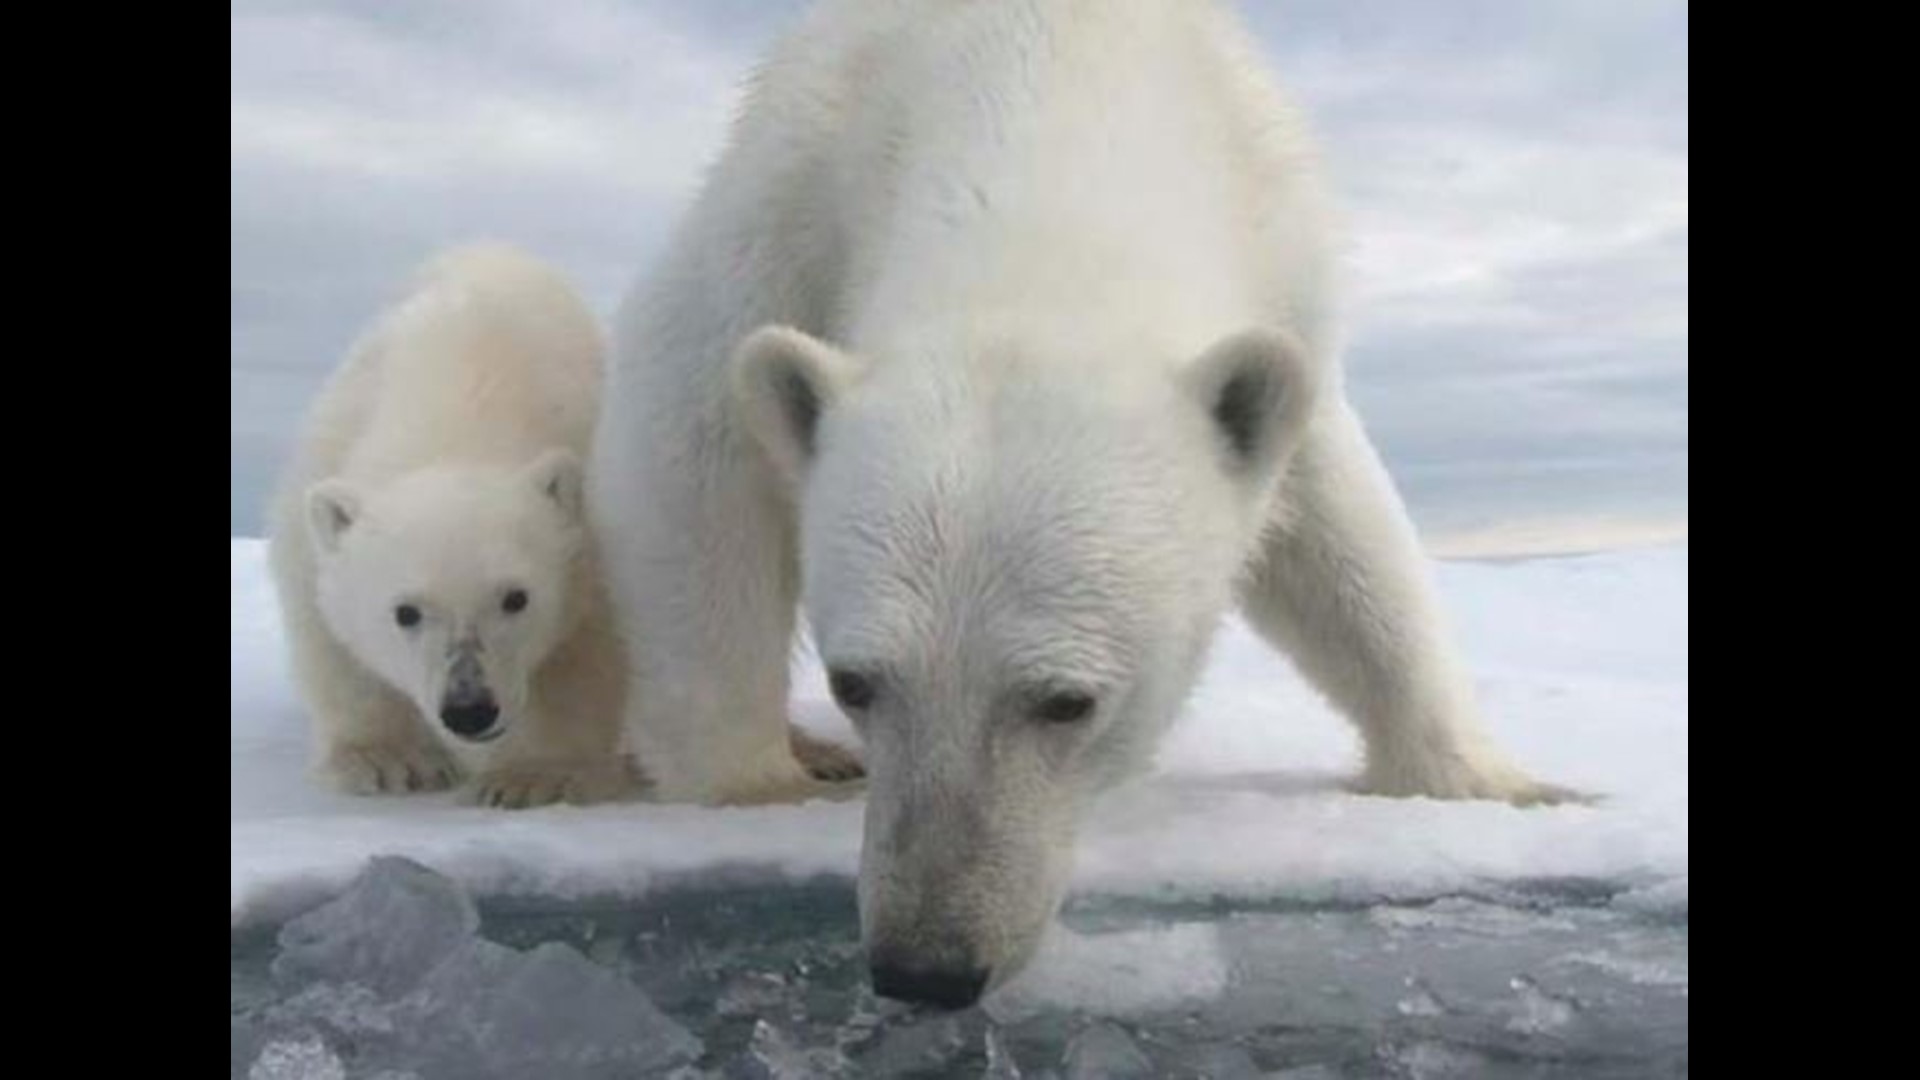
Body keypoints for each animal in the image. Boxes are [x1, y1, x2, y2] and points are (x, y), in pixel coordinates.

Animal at [267, 243, 636, 808]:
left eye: (516, 598)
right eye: (406, 611)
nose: (469, 709)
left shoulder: (595, 529)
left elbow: (588, 651)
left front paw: (534, 775)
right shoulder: (317, 485)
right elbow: (325, 629)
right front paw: (388, 760)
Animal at [588, 0, 1573, 1005]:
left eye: (1066, 702)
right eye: (853, 681)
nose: (926, 967)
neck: (1048, 63)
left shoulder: (1280, 266)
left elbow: (1343, 536)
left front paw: (1501, 784)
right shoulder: (786, 200)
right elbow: (693, 445)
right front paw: (761, 787)